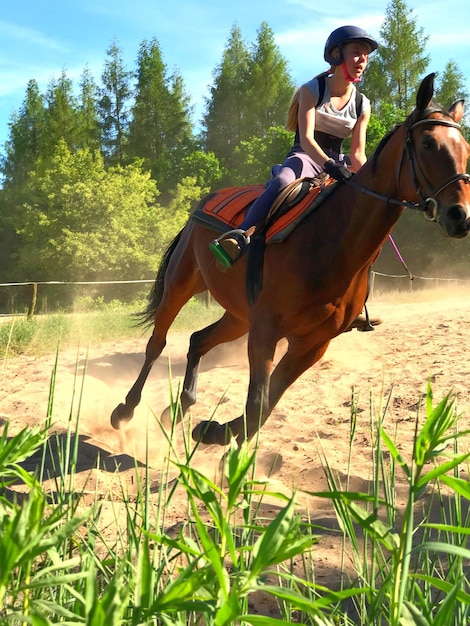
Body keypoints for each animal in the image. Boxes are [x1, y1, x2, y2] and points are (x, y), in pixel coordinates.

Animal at [110, 73, 470, 444]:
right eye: (427, 145)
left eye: (466, 150)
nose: (460, 216)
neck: (331, 242)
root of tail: (203, 203)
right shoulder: (267, 330)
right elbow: (257, 402)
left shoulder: (310, 344)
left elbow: (265, 406)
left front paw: (214, 431)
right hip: (181, 286)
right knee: (157, 343)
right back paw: (125, 410)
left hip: (239, 315)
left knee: (198, 340)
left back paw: (179, 408)